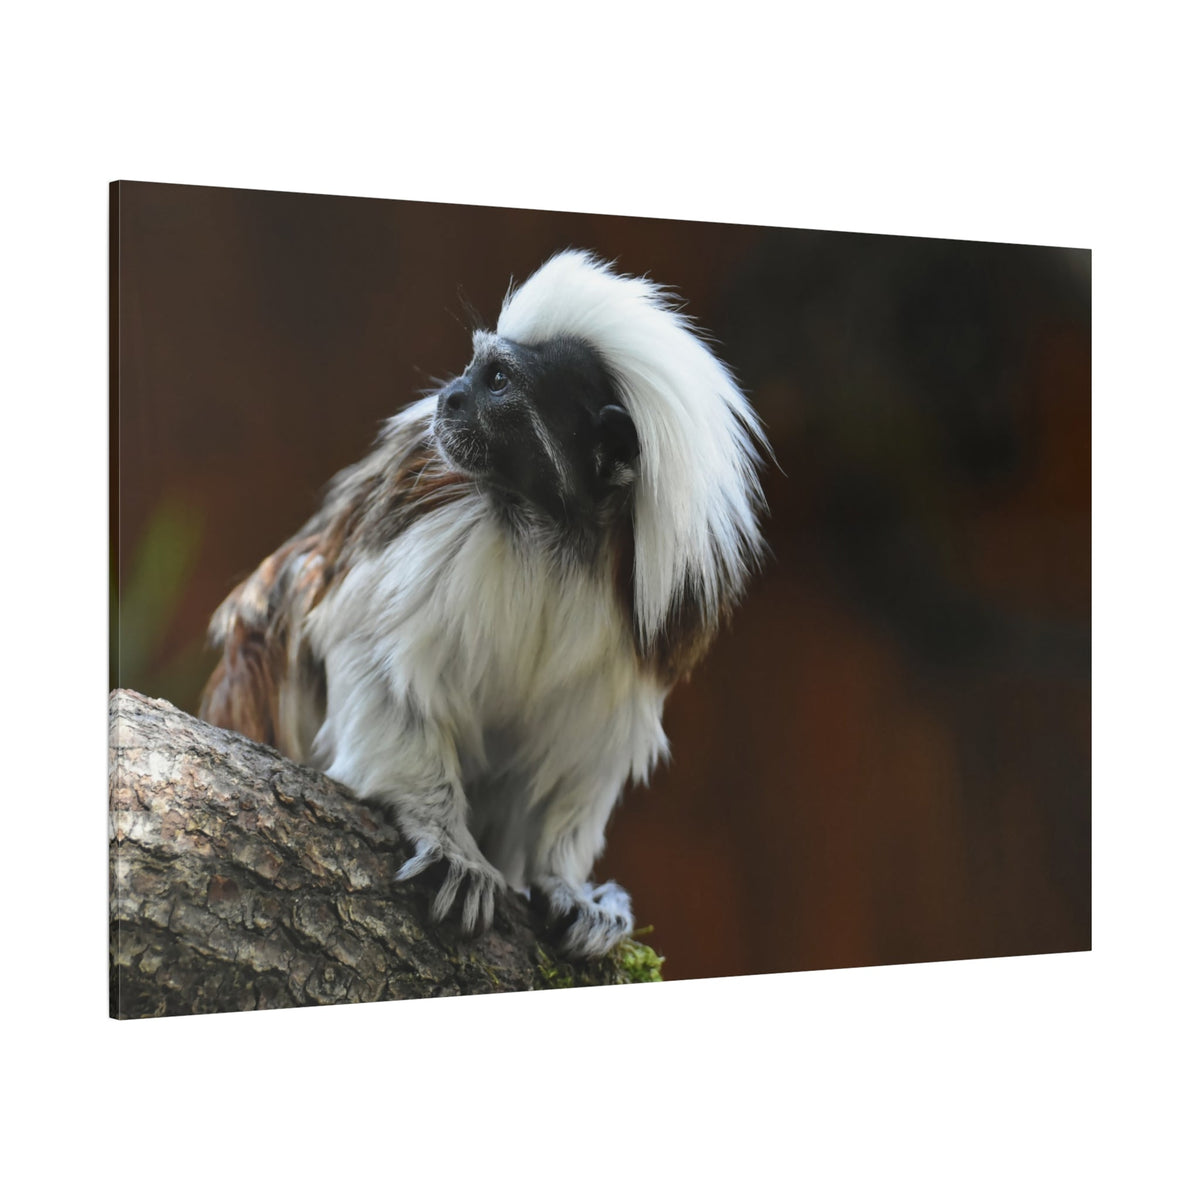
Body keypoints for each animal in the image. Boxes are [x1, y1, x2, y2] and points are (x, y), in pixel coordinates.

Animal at [200, 250, 768, 958]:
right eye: (474, 367)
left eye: (497, 380)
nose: (449, 395)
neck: (549, 528)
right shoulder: (434, 518)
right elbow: (375, 659)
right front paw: (451, 846)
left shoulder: (636, 631)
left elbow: (578, 756)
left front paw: (568, 887)